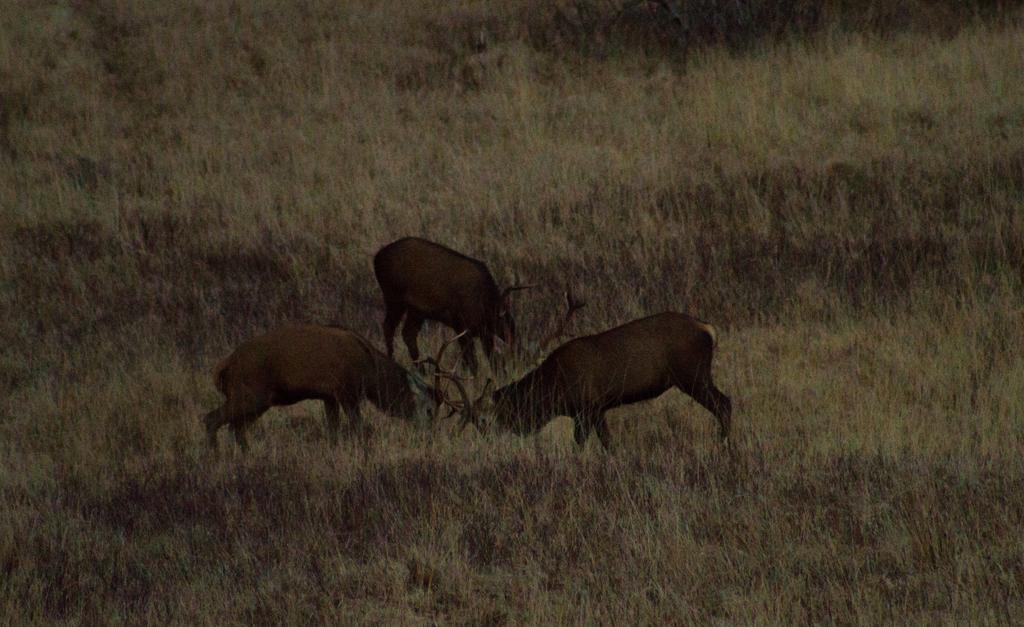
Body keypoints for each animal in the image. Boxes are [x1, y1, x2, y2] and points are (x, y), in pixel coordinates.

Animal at [200, 325, 471, 452]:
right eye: (428, 410)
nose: (430, 437)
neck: (369, 373)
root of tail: (223, 367)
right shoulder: (347, 392)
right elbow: (359, 429)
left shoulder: (328, 396)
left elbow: (333, 431)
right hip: (251, 394)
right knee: (211, 418)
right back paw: (214, 456)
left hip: (256, 401)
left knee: (236, 428)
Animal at [376, 235, 536, 372]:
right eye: (504, 324)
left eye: (513, 325)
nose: (521, 354)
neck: (485, 304)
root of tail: (377, 258)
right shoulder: (462, 328)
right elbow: (472, 363)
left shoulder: (483, 333)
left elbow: (491, 360)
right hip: (394, 301)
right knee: (388, 327)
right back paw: (393, 360)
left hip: (416, 312)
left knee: (408, 334)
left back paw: (422, 371)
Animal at [454, 293, 729, 450]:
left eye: (485, 419)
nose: (490, 441)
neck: (553, 390)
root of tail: (709, 330)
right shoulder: (596, 410)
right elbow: (608, 444)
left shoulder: (588, 408)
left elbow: (581, 445)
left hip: (693, 375)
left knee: (724, 403)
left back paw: (723, 445)